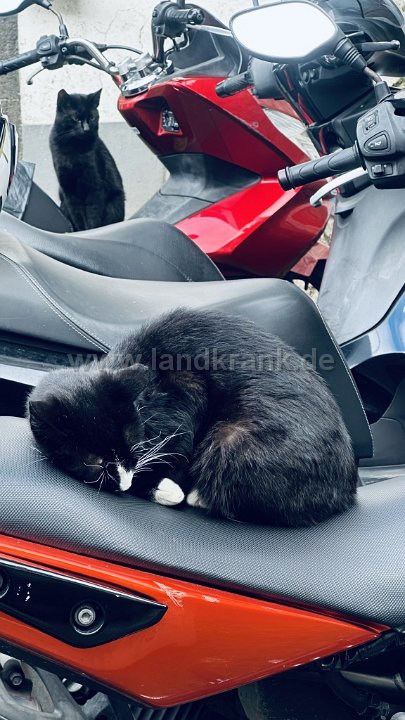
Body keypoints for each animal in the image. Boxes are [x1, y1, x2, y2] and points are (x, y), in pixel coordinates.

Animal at [27, 308, 358, 526]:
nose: (123, 482)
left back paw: (197, 494)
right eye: (93, 462)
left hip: (231, 440)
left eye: (132, 443)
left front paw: (165, 486)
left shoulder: (188, 385)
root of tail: (347, 490)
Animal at [49, 89, 125, 231]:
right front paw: (82, 231)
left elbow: (93, 215)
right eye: (76, 117)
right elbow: (77, 214)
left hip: (114, 204)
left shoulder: (95, 186)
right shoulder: (68, 189)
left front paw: (91, 230)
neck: (73, 149)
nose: (86, 129)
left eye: (91, 117)